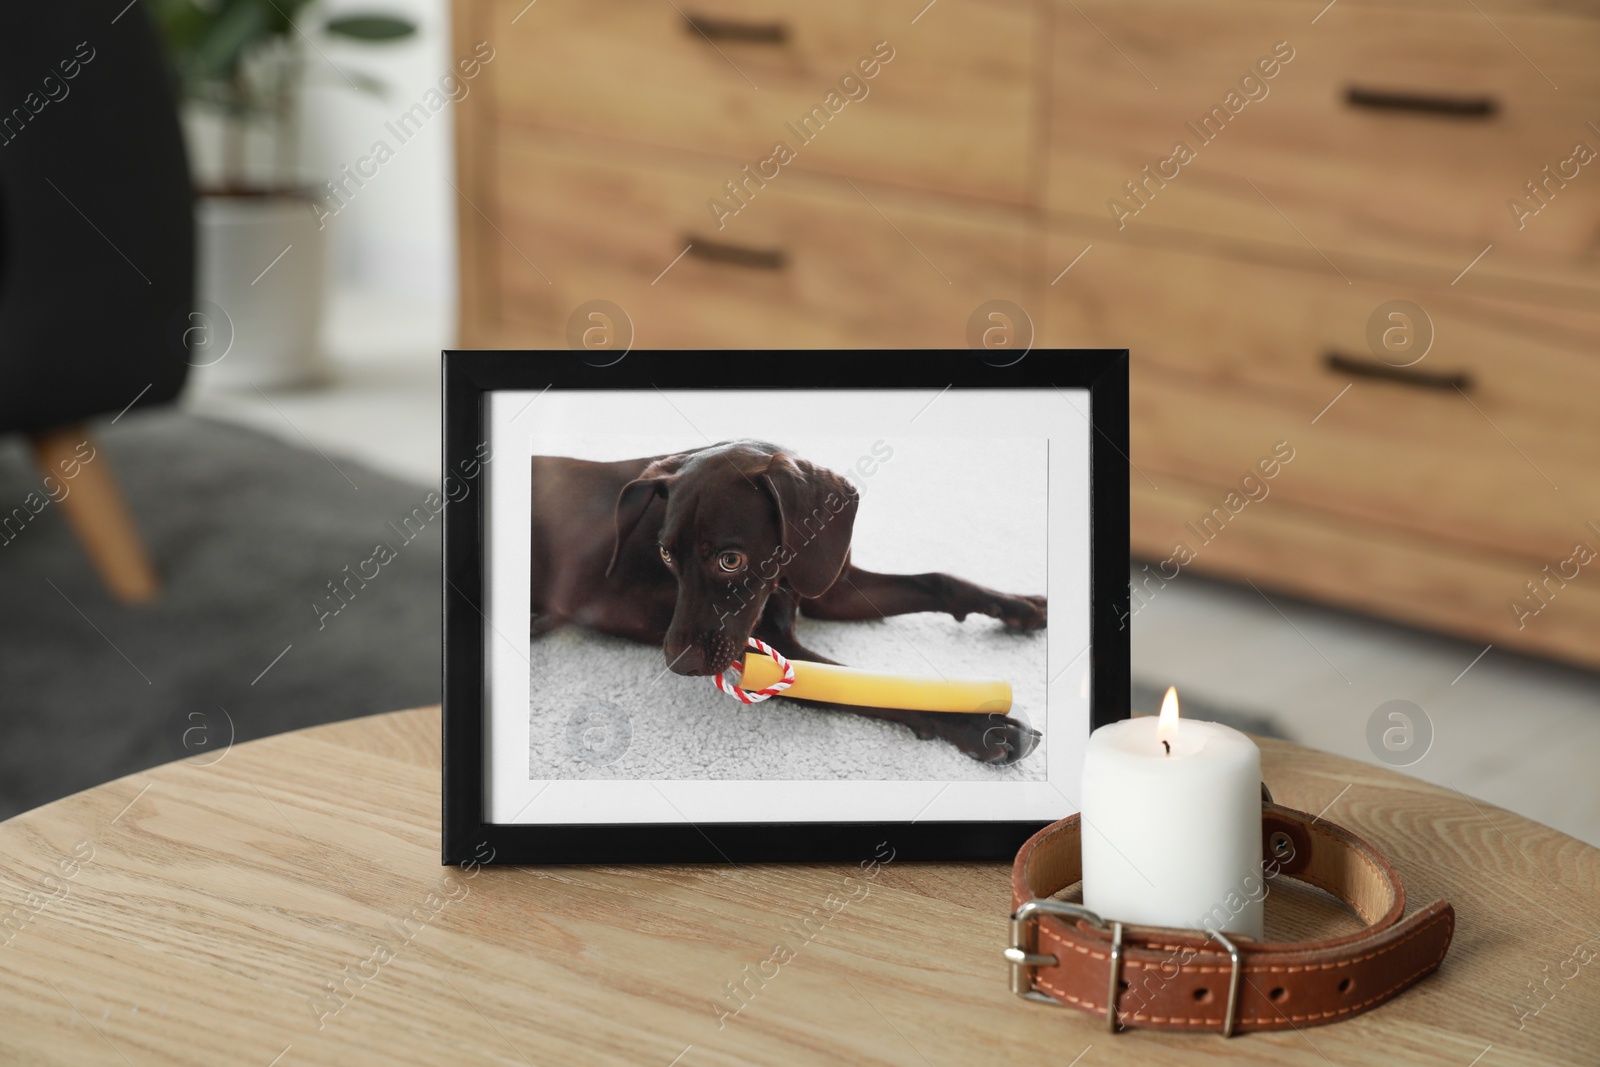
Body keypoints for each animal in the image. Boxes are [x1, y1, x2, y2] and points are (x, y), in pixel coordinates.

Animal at [531, 441, 1043, 758]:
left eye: (731, 560)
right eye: (665, 554)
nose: (677, 664)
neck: (783, 571)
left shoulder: (831, 588)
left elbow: (938, 581)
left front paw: (1017, 605)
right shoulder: (772, 651)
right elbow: (872, 686)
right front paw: (983, 726)